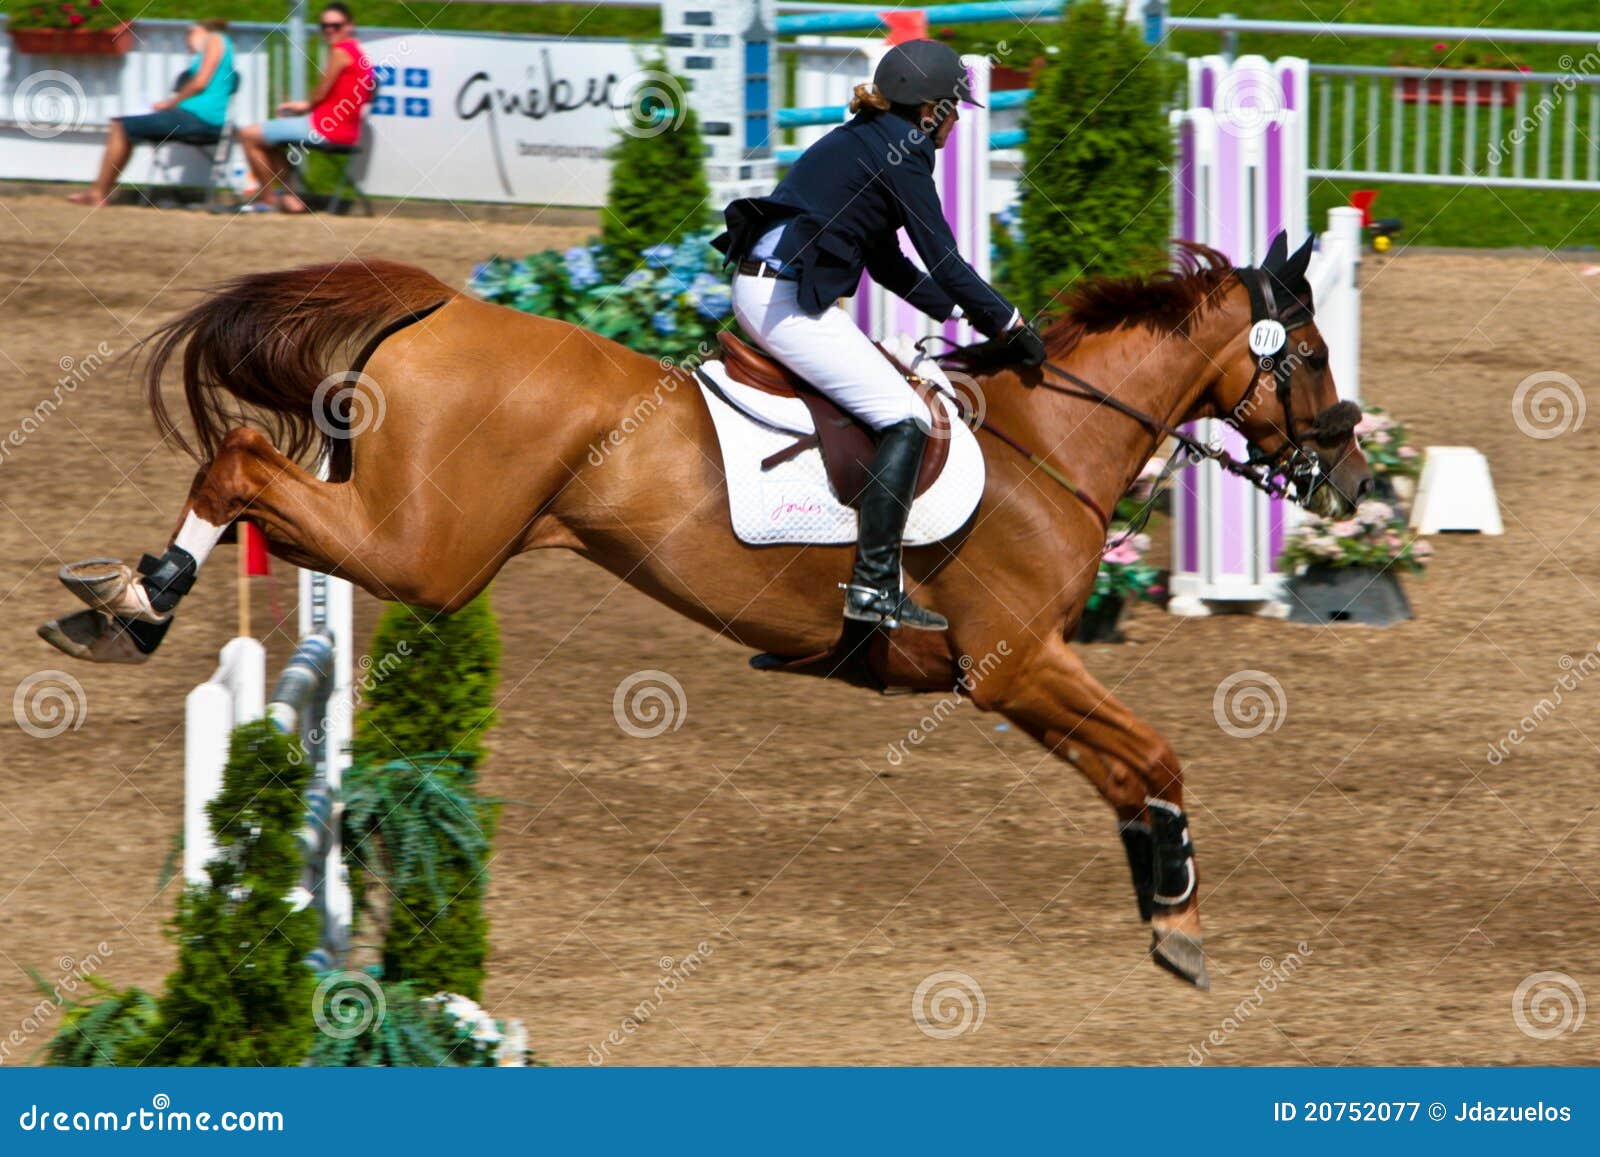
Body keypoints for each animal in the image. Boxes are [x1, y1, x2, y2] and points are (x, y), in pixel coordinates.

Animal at [39, 234, 1372, 990]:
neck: (1051, 440)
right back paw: (135, 600)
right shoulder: (1012, 663)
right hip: (429, 554)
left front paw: (1163, 897)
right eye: (1305, 354)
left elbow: (1129, 775)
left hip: (413, 536)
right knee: (240, 468)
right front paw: (1181, 907)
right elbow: (1157, 752)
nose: (1352, 479)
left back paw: (117, 603)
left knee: (250, 474)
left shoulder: (1014, 672)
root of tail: (438, 306)